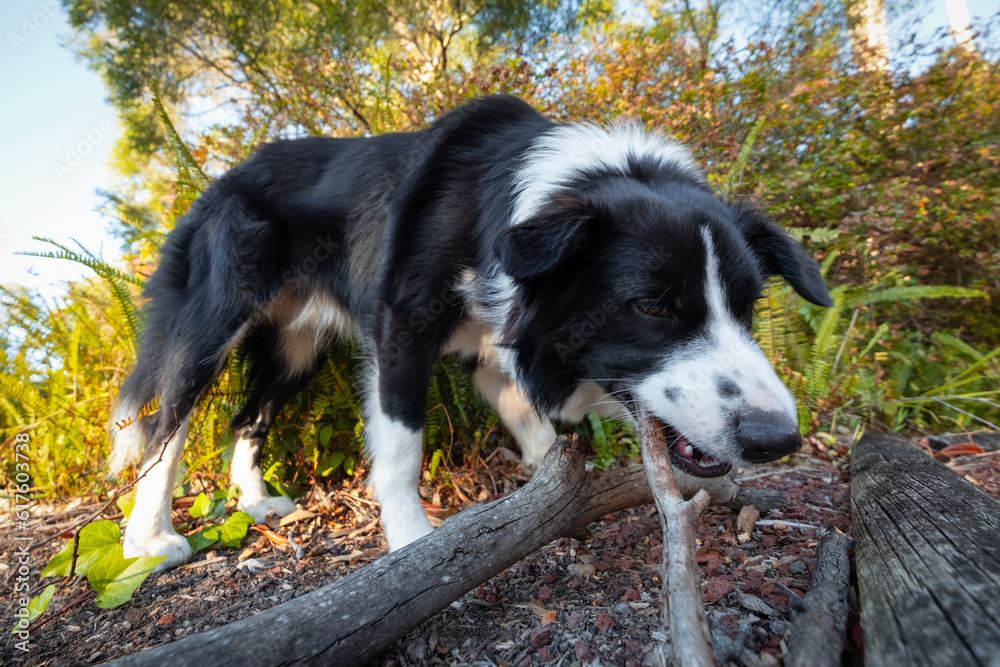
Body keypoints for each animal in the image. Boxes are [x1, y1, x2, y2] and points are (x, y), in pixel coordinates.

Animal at [109, 95, 832, 568]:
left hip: (297, 347)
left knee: (249, 417)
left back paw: (256, 501)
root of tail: (211, 188)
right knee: (164, 425)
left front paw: (550, 490)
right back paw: (148, 539)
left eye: (746, 307)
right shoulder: (402, 324)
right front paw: (411, 541)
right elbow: (402, 444)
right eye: (653, 307)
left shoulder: (491, 337)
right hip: (212, 325)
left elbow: (528, 418)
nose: (777, 439)